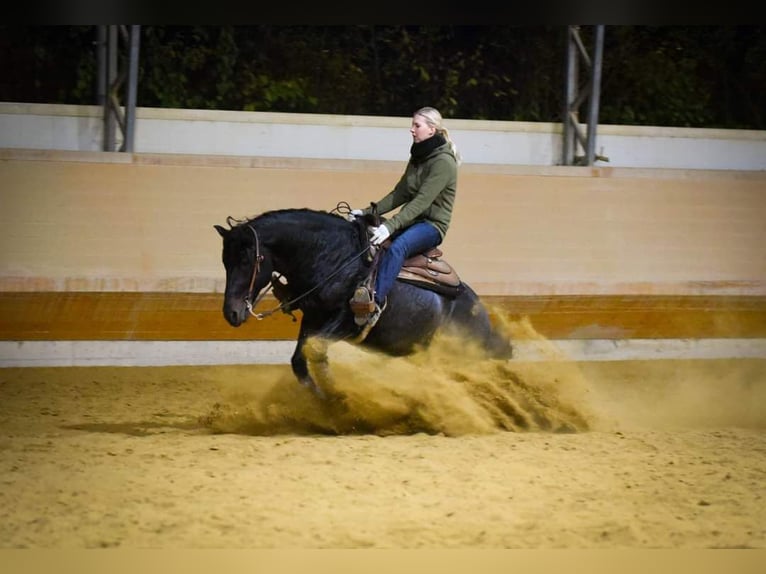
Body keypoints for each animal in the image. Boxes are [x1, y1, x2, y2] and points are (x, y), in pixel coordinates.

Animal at [216, 208, 512, 400]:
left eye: (247, 260)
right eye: (224, 261)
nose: (231, 312)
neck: (334, 257)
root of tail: (482, 317)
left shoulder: (345, 321)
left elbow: (316, 351)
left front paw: (338, 397)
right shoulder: (313, 318)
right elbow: (300, 359)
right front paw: (324, 398)